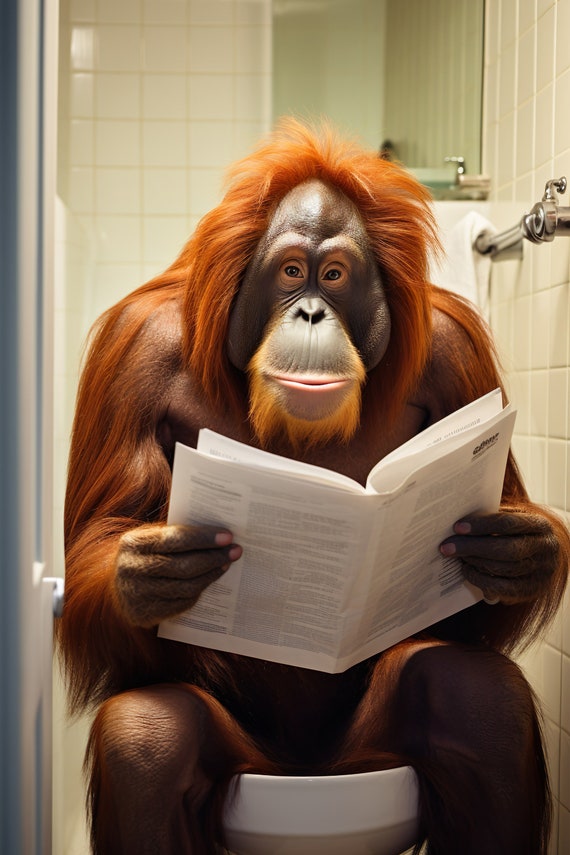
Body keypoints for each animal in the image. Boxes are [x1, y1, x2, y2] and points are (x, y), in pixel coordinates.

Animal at [57, 119, 569, 854]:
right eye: (293, 271)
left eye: (334, 275)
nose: (308, 312)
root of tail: (304, 775)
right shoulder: (132, 351)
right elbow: (97, 534)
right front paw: (151, 569)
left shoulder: (457, 347)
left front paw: (514, 551)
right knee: (147, 739)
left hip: (363, 768)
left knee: (477, 699)